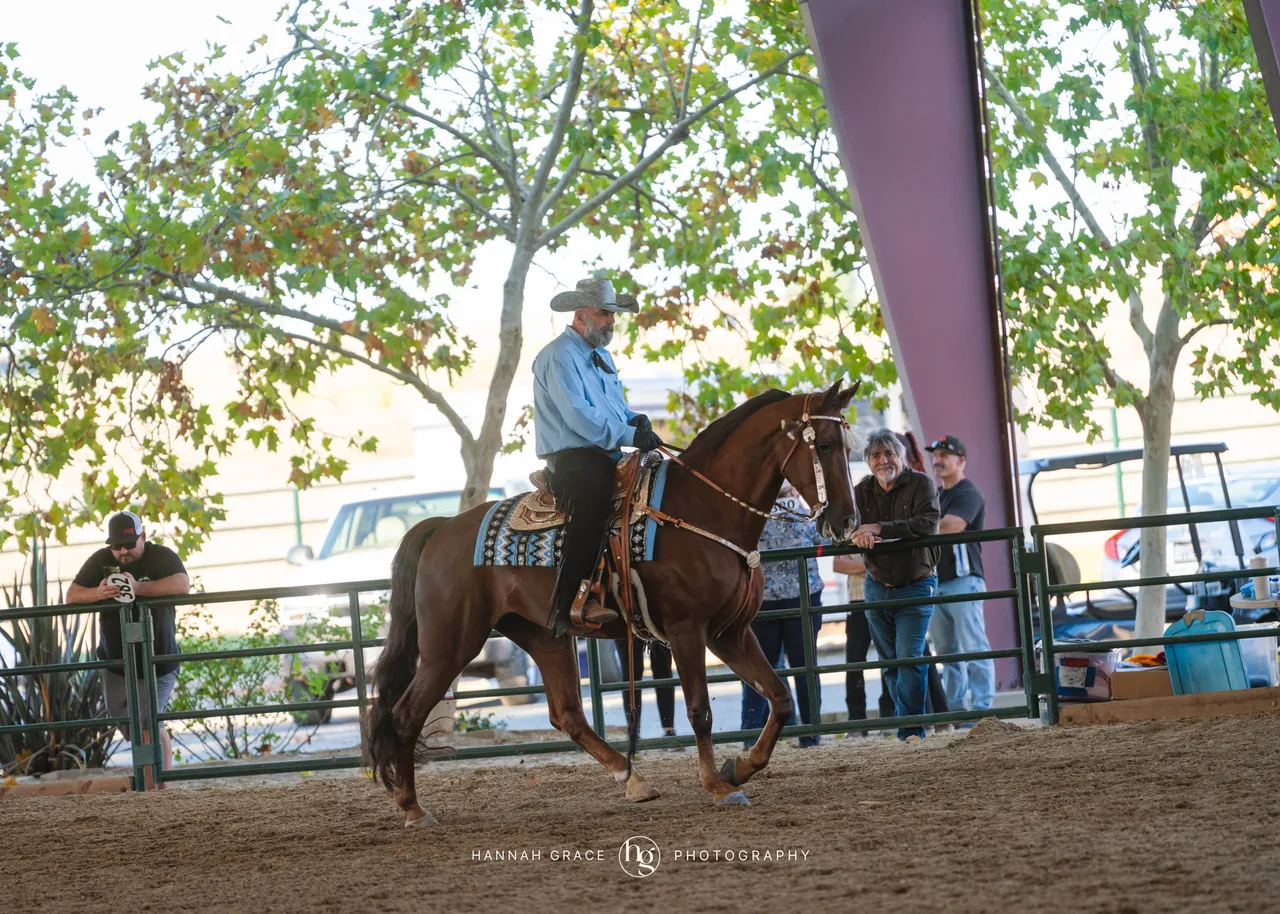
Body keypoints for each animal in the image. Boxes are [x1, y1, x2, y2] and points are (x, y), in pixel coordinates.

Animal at [364, 380, 862, 826]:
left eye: (846, 443)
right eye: (826, 444)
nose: (847, 521)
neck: (704, 508)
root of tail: (441, 527)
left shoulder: (730, 633)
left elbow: (780, 697)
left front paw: (737, 768)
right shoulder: (687, 630)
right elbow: (699, 709)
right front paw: (718, 786)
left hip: (544, 637)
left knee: (566, 714)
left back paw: (632, 777)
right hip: (450, 646)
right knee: (405, 714)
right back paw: (413, 809)